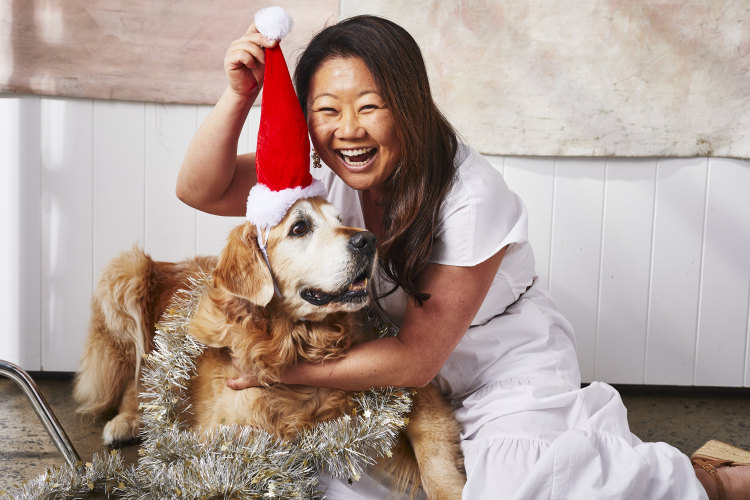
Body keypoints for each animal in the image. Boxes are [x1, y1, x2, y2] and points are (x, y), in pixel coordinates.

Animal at [73, 197, 468, 498]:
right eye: (300, 227)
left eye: (340, 221)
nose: (368, 240)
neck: (297, 344)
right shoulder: (224, 445)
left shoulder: (410, 381)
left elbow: (434, 456)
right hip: (126, 276)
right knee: (138, 375)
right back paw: (126, 420)